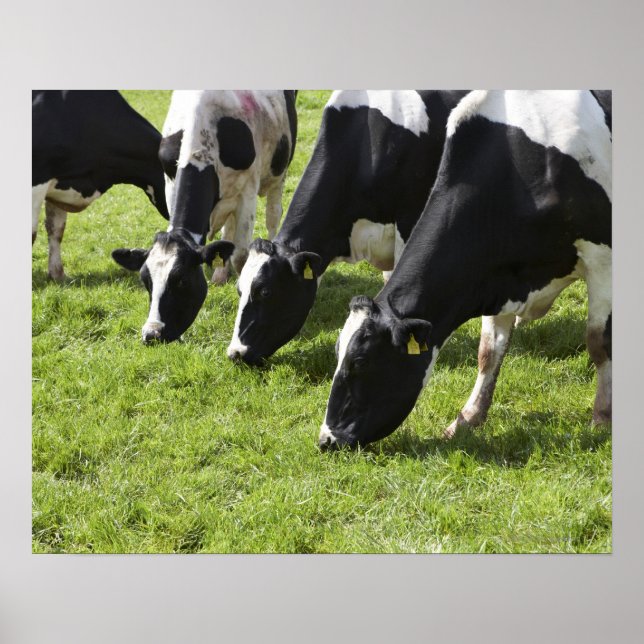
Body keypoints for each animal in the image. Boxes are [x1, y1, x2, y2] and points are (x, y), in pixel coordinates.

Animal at [112, 90, 298, 343]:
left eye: (181, 280)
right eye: (146, 281)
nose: (152, 334)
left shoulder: (247, 191)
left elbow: (240, 256)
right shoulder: (170, 183)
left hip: (279, 169)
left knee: (273, 215)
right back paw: (220, 274)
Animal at [319, 90, 612, 450]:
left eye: (360, 361)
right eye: (337, 352)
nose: (326, 439)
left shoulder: (602, 260)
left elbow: (598, 343)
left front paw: (602, 419)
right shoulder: (498, 273)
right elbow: (489, 350)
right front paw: (467, 419)